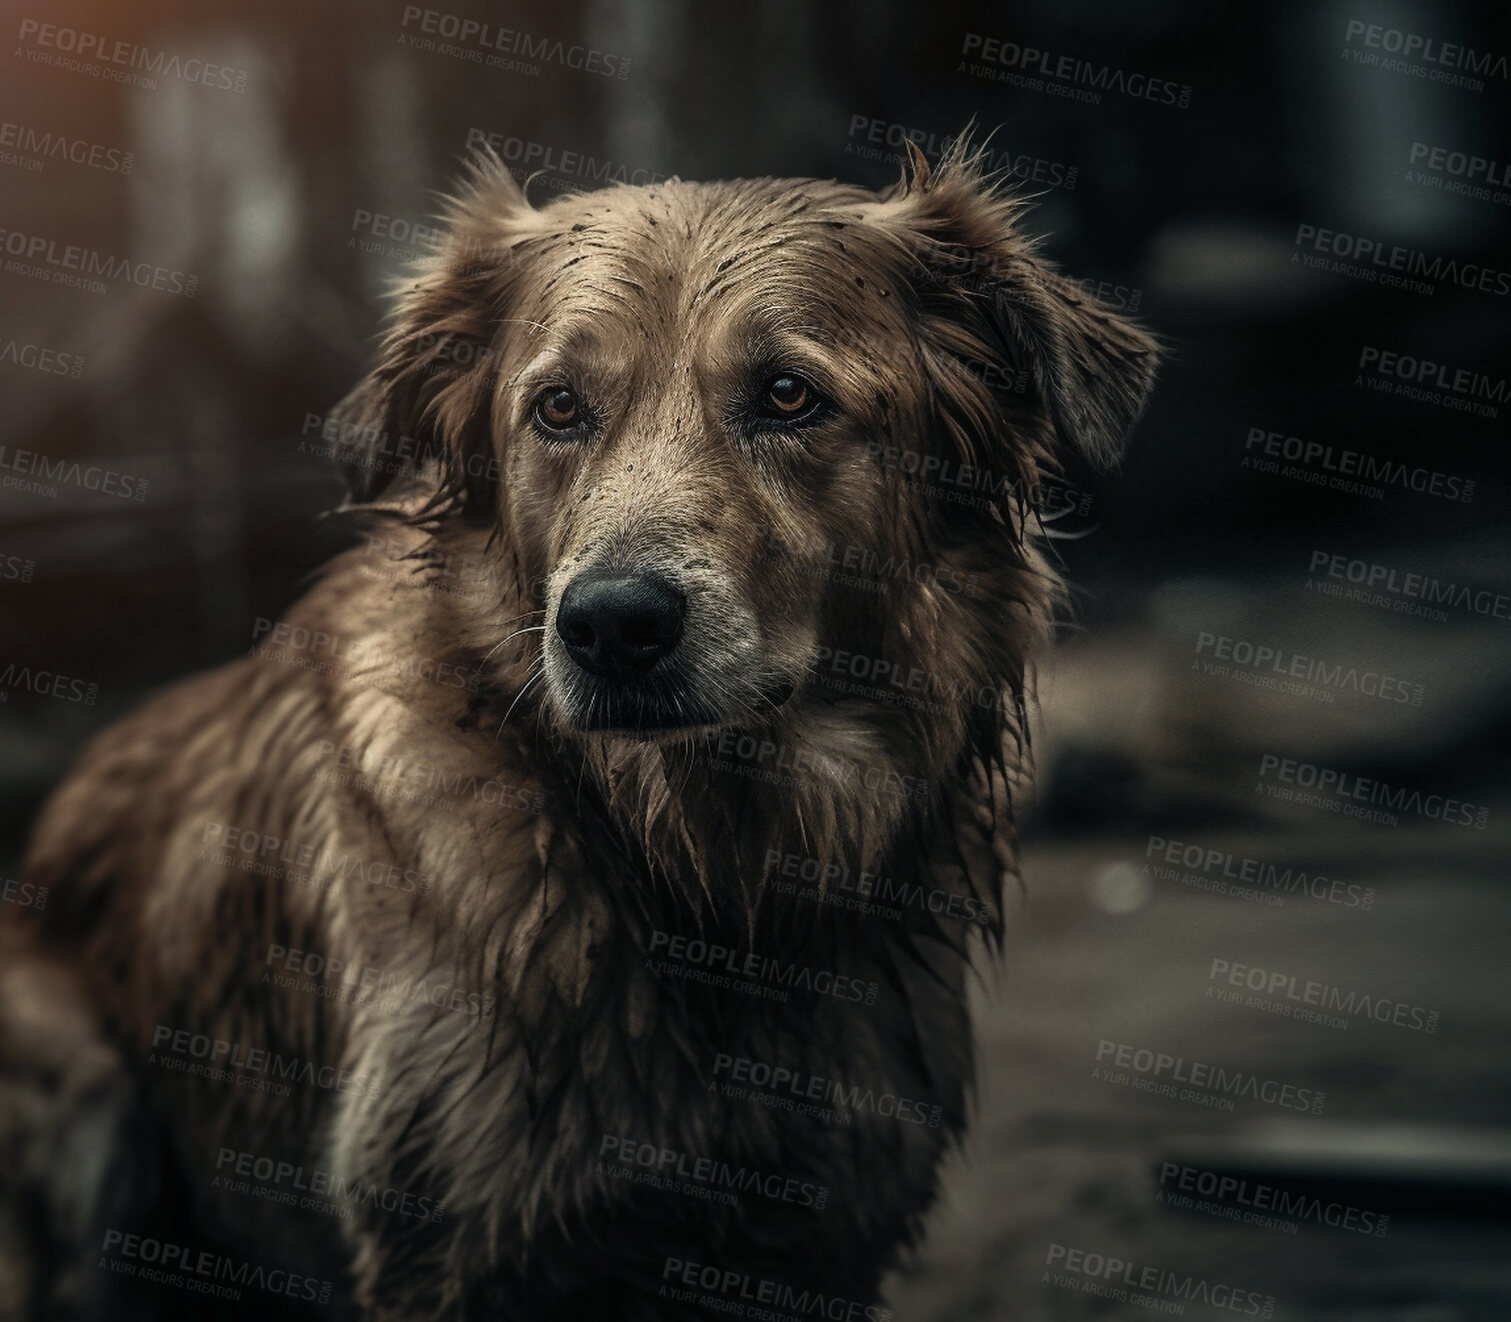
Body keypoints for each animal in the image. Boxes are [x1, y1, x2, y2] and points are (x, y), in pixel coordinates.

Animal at [0, 139, 1154, 1317]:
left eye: (788, 395)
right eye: (556, 408)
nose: (609, 625)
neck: (700, 878)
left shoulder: (826, 1232)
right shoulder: (450, 1249)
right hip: (82, 1086)